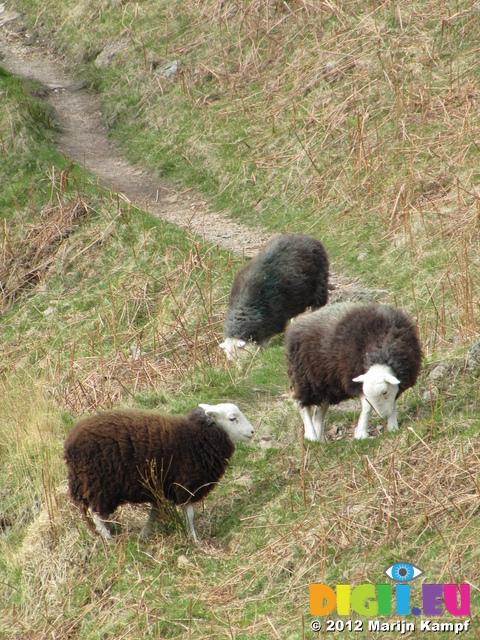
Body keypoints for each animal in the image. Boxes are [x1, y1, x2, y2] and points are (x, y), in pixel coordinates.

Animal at [65, 402, 256, 544]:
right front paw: (194, 539)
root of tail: (70, 446)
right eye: (232, 418)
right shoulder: (185, 483)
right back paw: (108, 538)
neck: (197, 437)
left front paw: (144, 535)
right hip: (99, 483)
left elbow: (155, 514)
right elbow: (189, 514)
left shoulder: (161, 488)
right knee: (96, 513)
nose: (252, 431)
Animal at [286, 302, 422, 442]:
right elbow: (367, 406)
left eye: (384, 392)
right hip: (303, 377)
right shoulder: (353, 381)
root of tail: (299, 320)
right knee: (302, 405)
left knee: (319, 412)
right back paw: (311, 436)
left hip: (325, 383)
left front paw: (393, 426)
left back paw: (320, 440)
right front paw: (361, 434)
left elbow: (393, 401)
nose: (383, 416)